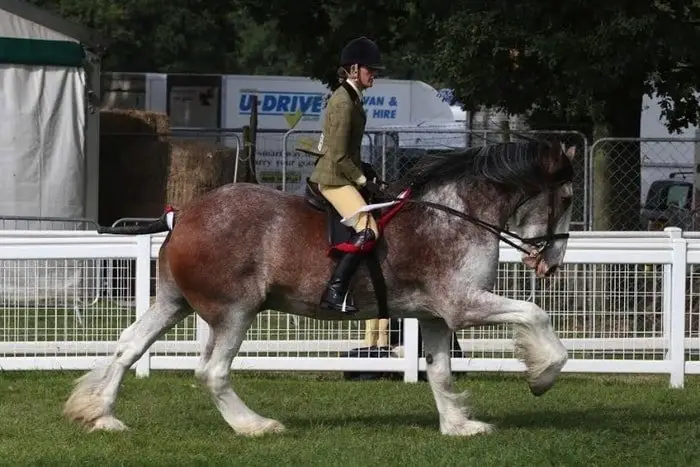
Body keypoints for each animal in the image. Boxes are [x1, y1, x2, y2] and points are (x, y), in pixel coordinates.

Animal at [63, 137, 576, 436]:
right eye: (569, 198)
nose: (551, 264)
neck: (456, 214)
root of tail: (185, 214)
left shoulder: (434, 316)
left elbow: (440, 373)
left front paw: (458, 426)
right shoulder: (464, 305)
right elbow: (536, 314)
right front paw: (542, 376)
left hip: (174, 303)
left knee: (128, 346)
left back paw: (101, 415)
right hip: (234, 312)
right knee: (211, 371)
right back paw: (254, 425)